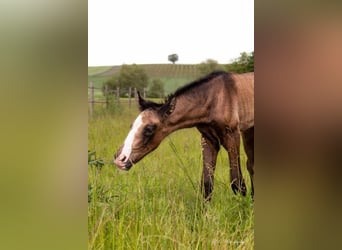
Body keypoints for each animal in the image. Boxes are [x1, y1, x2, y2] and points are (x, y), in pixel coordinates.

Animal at [113, 71, 252, 201]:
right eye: (132, 125)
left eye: (149, 129)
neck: (214, 100)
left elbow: (237, 182)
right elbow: (207, 184)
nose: (120, 159)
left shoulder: (232, 135)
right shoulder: (209, 139)